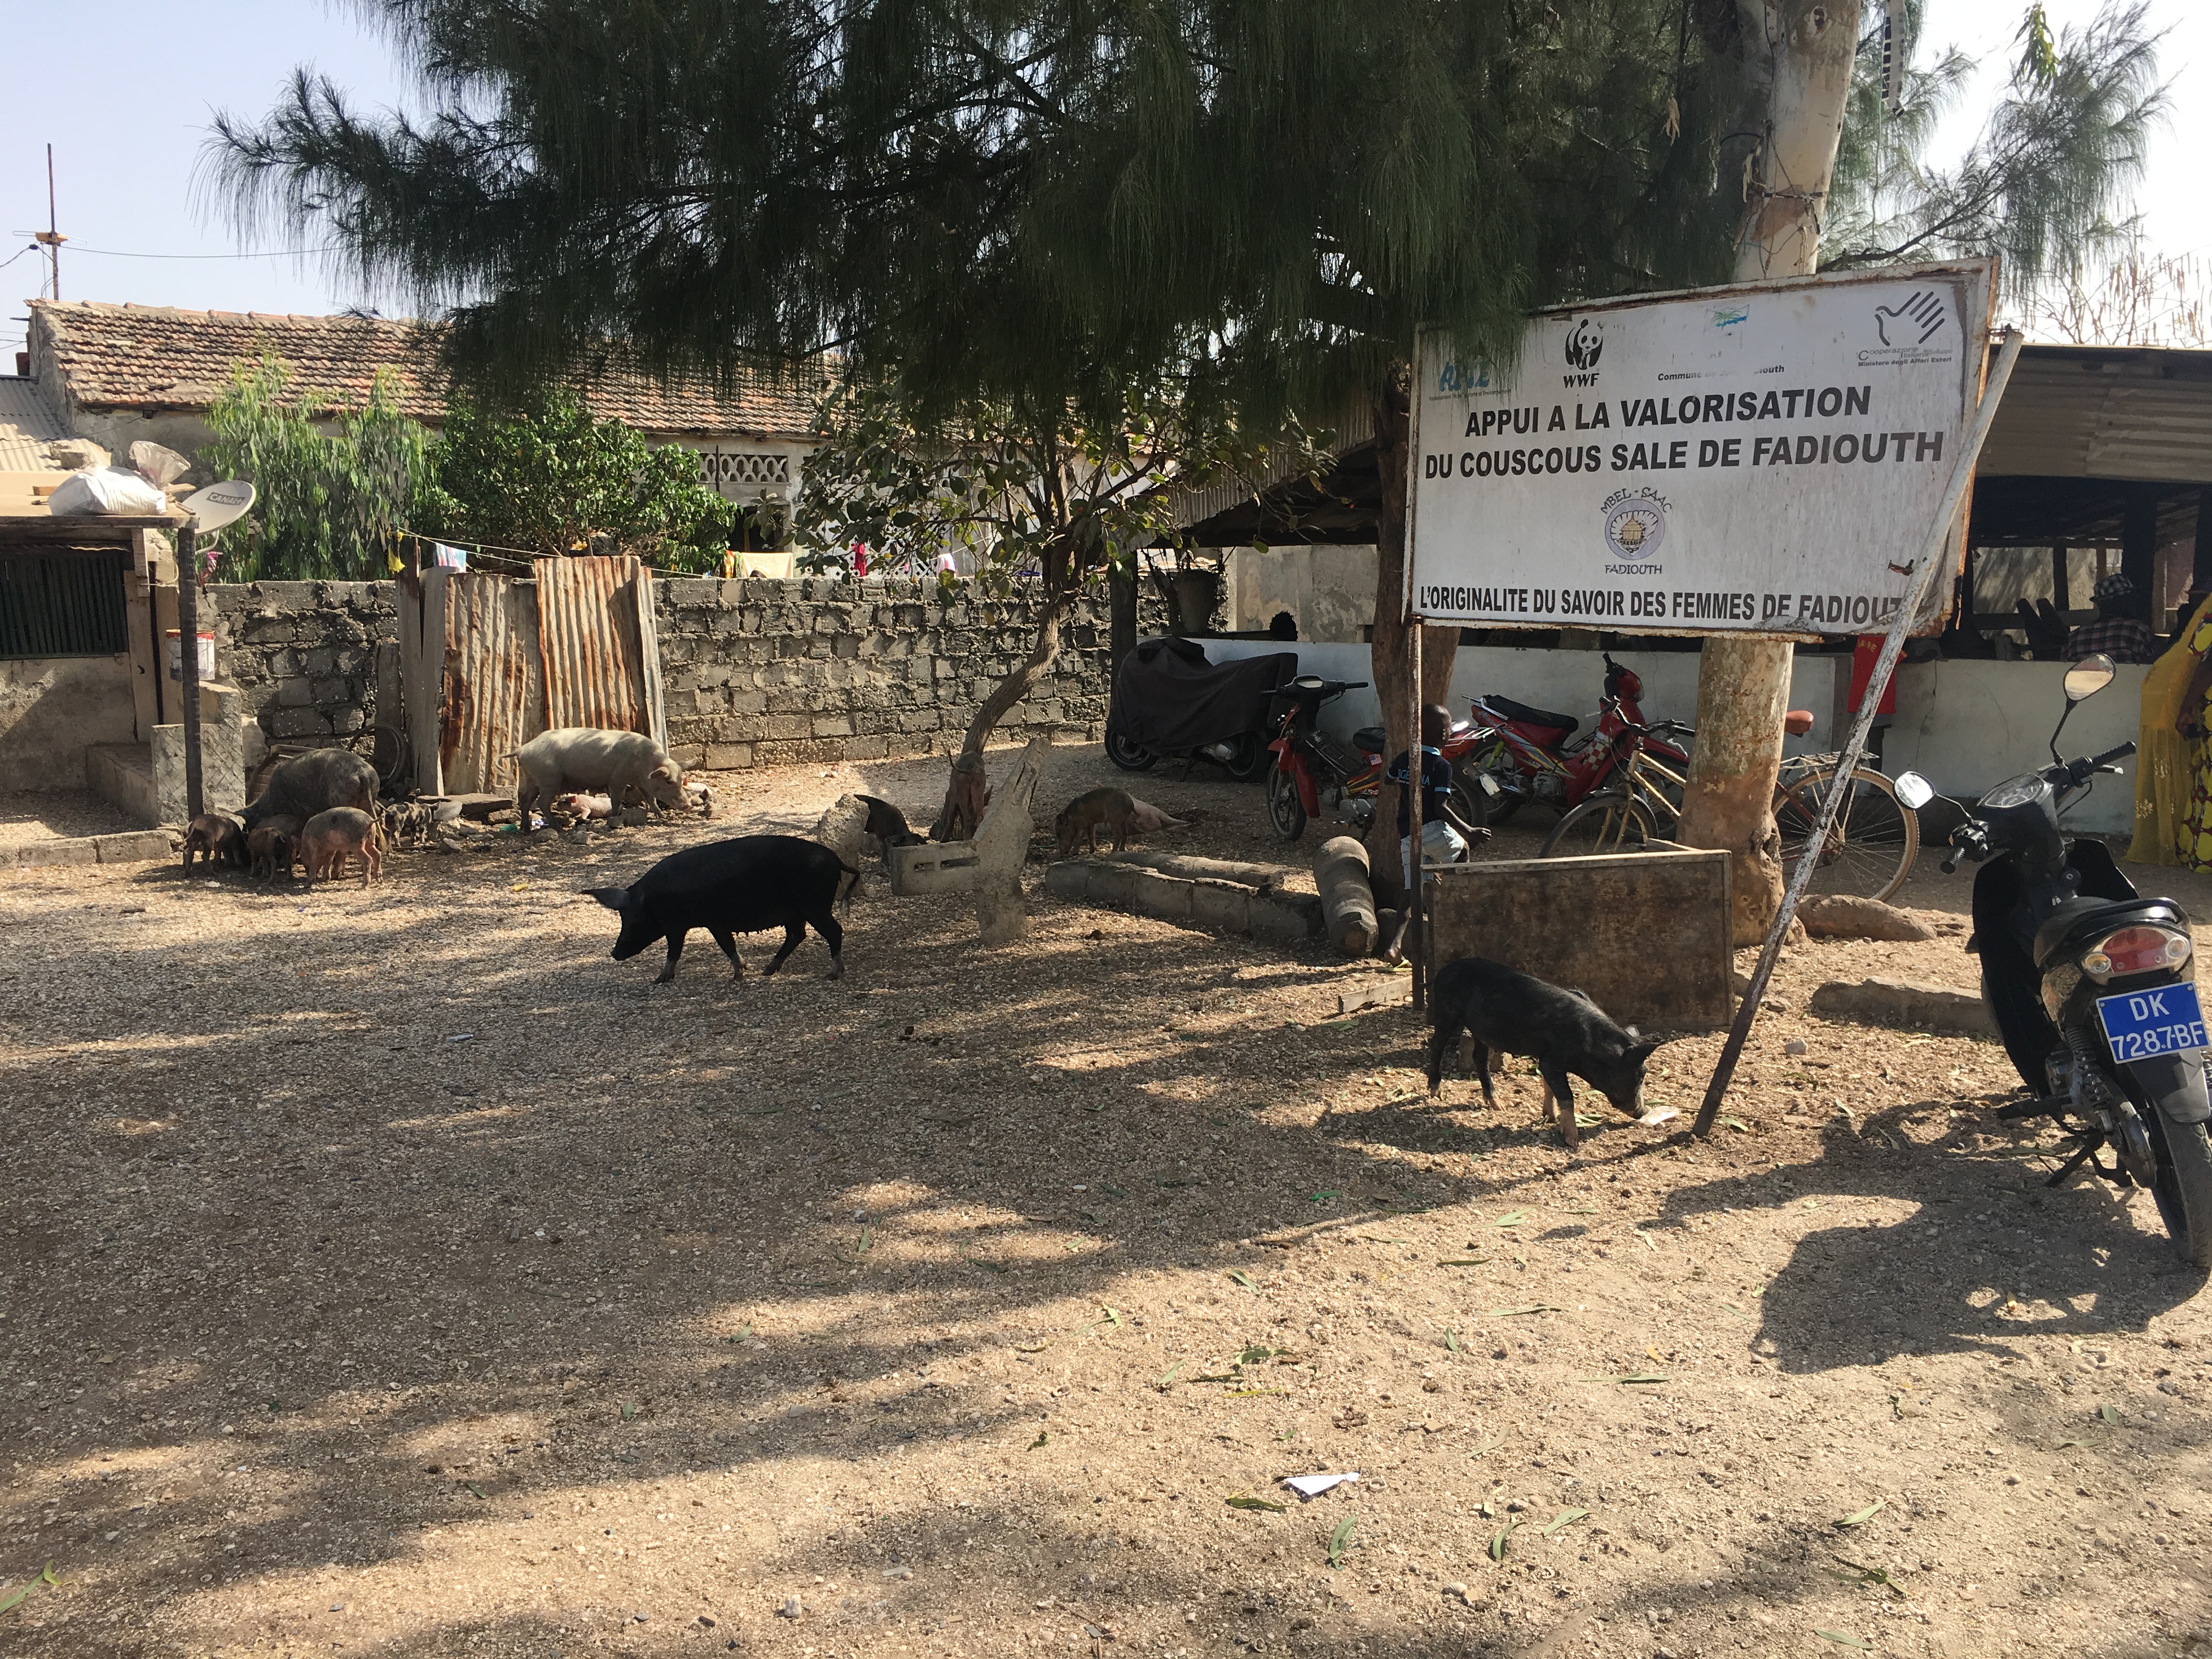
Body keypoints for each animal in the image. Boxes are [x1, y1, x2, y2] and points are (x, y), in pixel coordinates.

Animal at [588, 836, 854, 982]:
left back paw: (832, 974)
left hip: (815, 906)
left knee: (834, 931)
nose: (614, 953)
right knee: (797, 935)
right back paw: (767, 971)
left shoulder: (682, 925)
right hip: (797, 913)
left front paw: (659, 980)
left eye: (630, 919)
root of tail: (836, 860)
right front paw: (742, 973)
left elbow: (677, 951)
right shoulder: (711, 923)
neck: (650, 900)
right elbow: (727, 946)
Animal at [1424, 955, 1663, 1150]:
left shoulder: (1546, 1060)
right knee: (1436, 1045)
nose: (1643, 1112)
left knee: (1479, 1058)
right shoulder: (1552, 1061)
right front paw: (1572, 1142)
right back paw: (1436, 1092)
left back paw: (1499, 1107)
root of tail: (1444, 970)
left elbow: (1549, 1087)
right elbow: (1567, 1095)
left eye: (1645, 1073)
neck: (1588, 1044)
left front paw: (1550, 1116)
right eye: (1637, 1075)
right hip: (1446, 1014)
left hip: (1481, 1031)